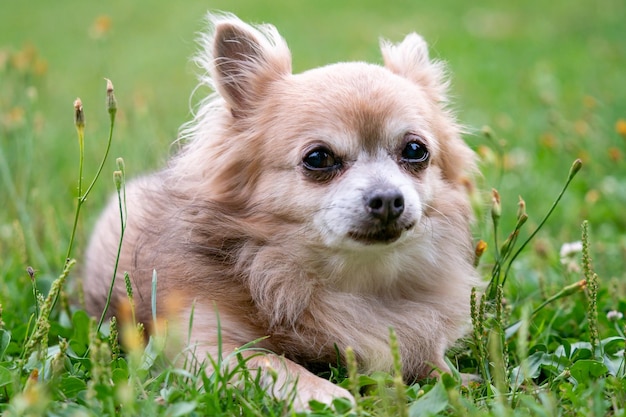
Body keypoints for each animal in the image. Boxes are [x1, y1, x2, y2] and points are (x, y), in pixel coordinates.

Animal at [84, 12, 478, 410]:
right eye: (318, 158)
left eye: (415, 151)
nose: (387, 198)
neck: (351, 281)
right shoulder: (208, 348)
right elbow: (275, 363)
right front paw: (326, 394)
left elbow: (438, 365)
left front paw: (460, 381)